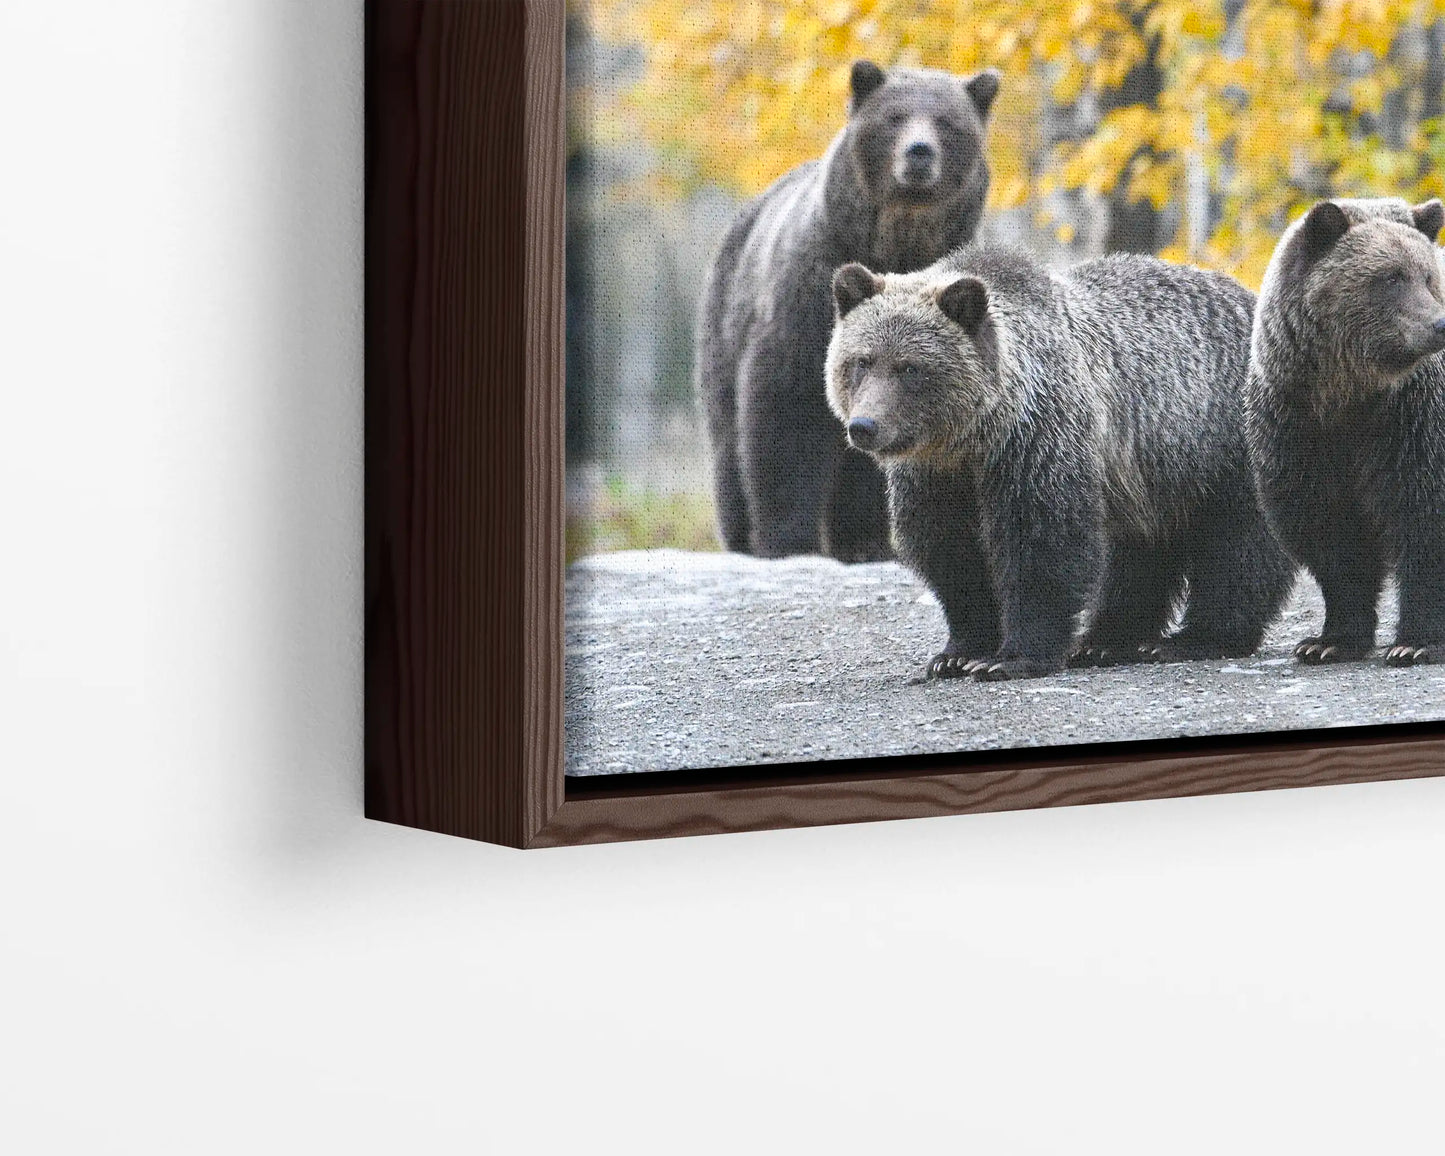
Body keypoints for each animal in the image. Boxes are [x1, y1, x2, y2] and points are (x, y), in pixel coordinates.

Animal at [696, 59, 999, 563]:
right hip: (724, 322)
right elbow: (787, 403)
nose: (919, 152)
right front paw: (787, 539)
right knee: (727, 435)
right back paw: (741, 538)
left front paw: (869, 542)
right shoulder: (807, 296)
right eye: (895, 117)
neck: (895, 243)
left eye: (947, 122)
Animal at [824, 245, 1296, 680]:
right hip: (1152, 478)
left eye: (909, 367)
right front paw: (956, 653)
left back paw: (1195, 639)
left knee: (1238, 547)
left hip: (1225, 445)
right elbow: (950, 553)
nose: (865, 426)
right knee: (1139, 555)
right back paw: (1106, 642)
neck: (974, 439)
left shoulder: (1038, 440)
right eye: (861, 361)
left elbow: (1042, 543)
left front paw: (1010, 658)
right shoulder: (935, 476)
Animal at [1245, 195, 1445, 667]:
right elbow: (1330, 537)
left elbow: (1426, 523)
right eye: (1391, 277)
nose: (1440, 324)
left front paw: (1415, 642)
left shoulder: (1411, 423)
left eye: (1429, 275)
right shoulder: (1300, 430)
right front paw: (1328, 640)